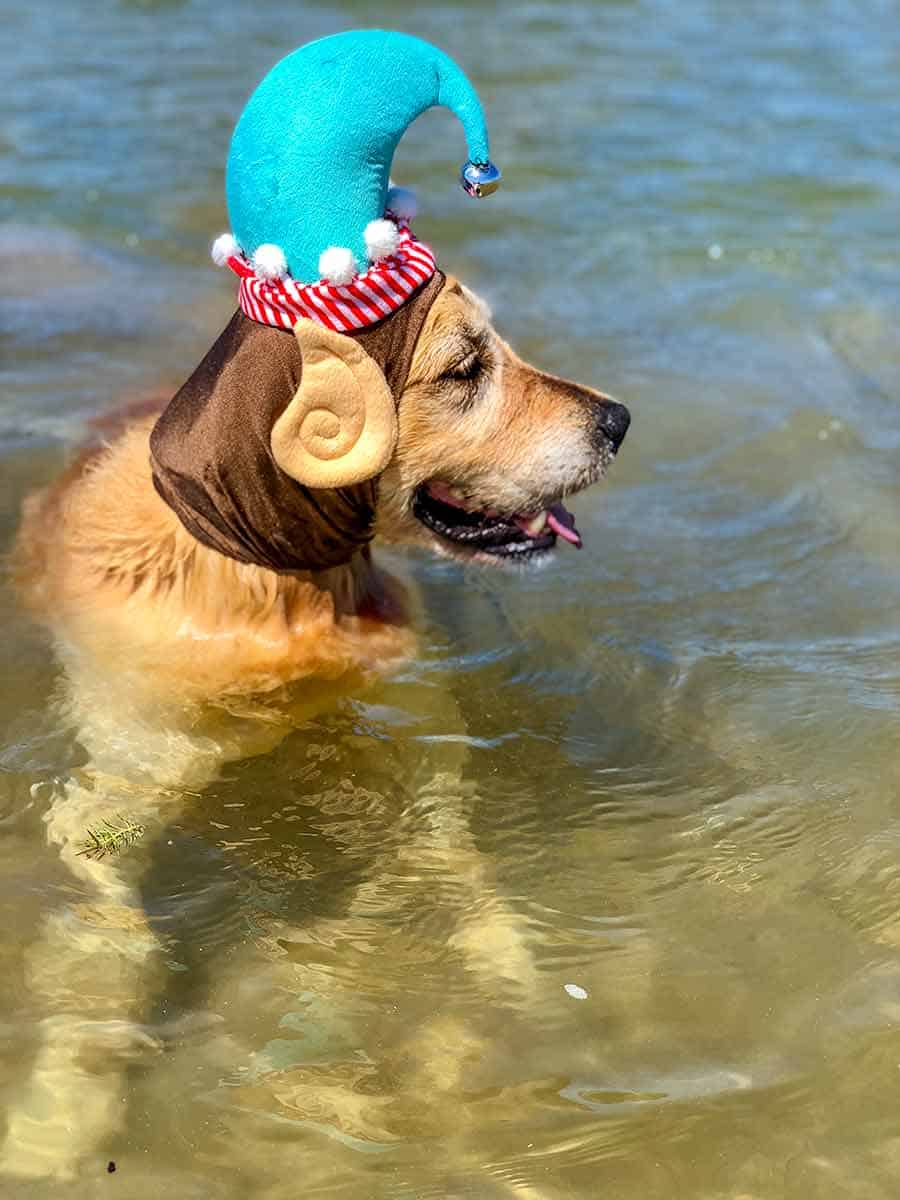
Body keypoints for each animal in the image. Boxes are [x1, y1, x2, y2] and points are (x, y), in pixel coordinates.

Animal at [3, 272, 628, 1180]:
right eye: (465, 368)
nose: (619, 420)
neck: (271, 586)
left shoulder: (420, 718)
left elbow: (453, 864)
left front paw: (507, 972)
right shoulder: (122, 766)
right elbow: (111, 933)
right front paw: (56, 1122)